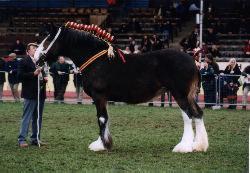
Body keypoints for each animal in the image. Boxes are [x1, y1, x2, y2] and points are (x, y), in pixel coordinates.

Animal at [33, 22, 209, 153]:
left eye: (48, 40)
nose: (35, 58)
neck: (98, 60)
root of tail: (192, 59)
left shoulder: (99, 96)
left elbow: (101, 118)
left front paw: (102, 145)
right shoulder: (104, 98)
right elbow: (105, 118)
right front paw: (103, 142)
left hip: (180, 94)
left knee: (188, 115)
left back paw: (184, 147)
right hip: (189, 95)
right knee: (198, 113)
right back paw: (199, 146)